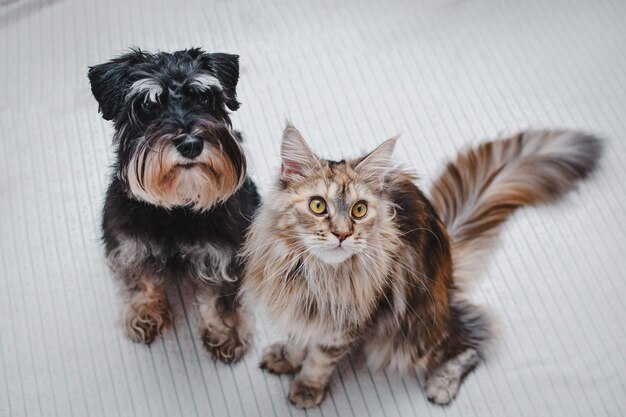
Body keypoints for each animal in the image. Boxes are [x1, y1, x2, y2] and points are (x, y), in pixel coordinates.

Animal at [88, 48, 258, 360]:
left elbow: (218, 298)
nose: (190, 144)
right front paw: (144, 315)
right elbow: (143, 280)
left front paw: (225, 333)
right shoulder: (131, 246)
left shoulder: (222, 255)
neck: (177, 207)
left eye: (204, 98)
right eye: (147, 105)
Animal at [240, 126, 600, 406]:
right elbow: (297, 338)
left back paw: (442, 384)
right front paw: (287, 357)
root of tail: (449, 272)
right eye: (317, 206)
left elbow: (319, 358)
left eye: (359, 210)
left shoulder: (348, 322)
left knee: (474, 339)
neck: (313, 275)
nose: (342, 234)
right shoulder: (298, 304)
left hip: (410, 333)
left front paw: (306, 388)